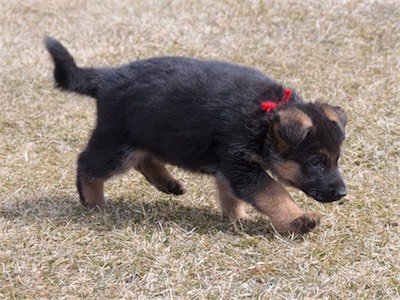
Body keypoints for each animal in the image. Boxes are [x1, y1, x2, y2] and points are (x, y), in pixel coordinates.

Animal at [45, 37, 346, 234]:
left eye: (336, 160)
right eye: (316, 162)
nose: (342, 193)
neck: (264, 119)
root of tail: (106, 78)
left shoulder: (230, 165)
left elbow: (231, 194)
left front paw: (237, 218)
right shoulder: (239, 163)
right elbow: (273, 191)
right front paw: (298, 219)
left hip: (147, 133)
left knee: (144, 158)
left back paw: (168, 184)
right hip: (116, 144)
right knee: (87, 164)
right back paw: (93, 203)